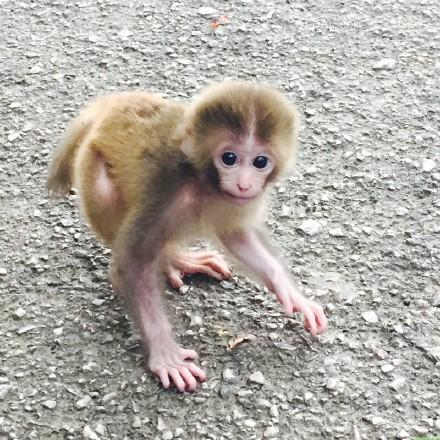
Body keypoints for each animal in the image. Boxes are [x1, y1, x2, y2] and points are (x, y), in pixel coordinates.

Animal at [48, 81, 328, 392]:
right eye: (229, 158)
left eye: (260, 161)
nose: (244, 184)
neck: (204, 182)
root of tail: (114, 104)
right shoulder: (170, 191)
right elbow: (134, 258)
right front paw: (166, 354)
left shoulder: (235, 203)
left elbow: (236, 236)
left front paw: (290, 292)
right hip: (91, 161)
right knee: (107, 197)